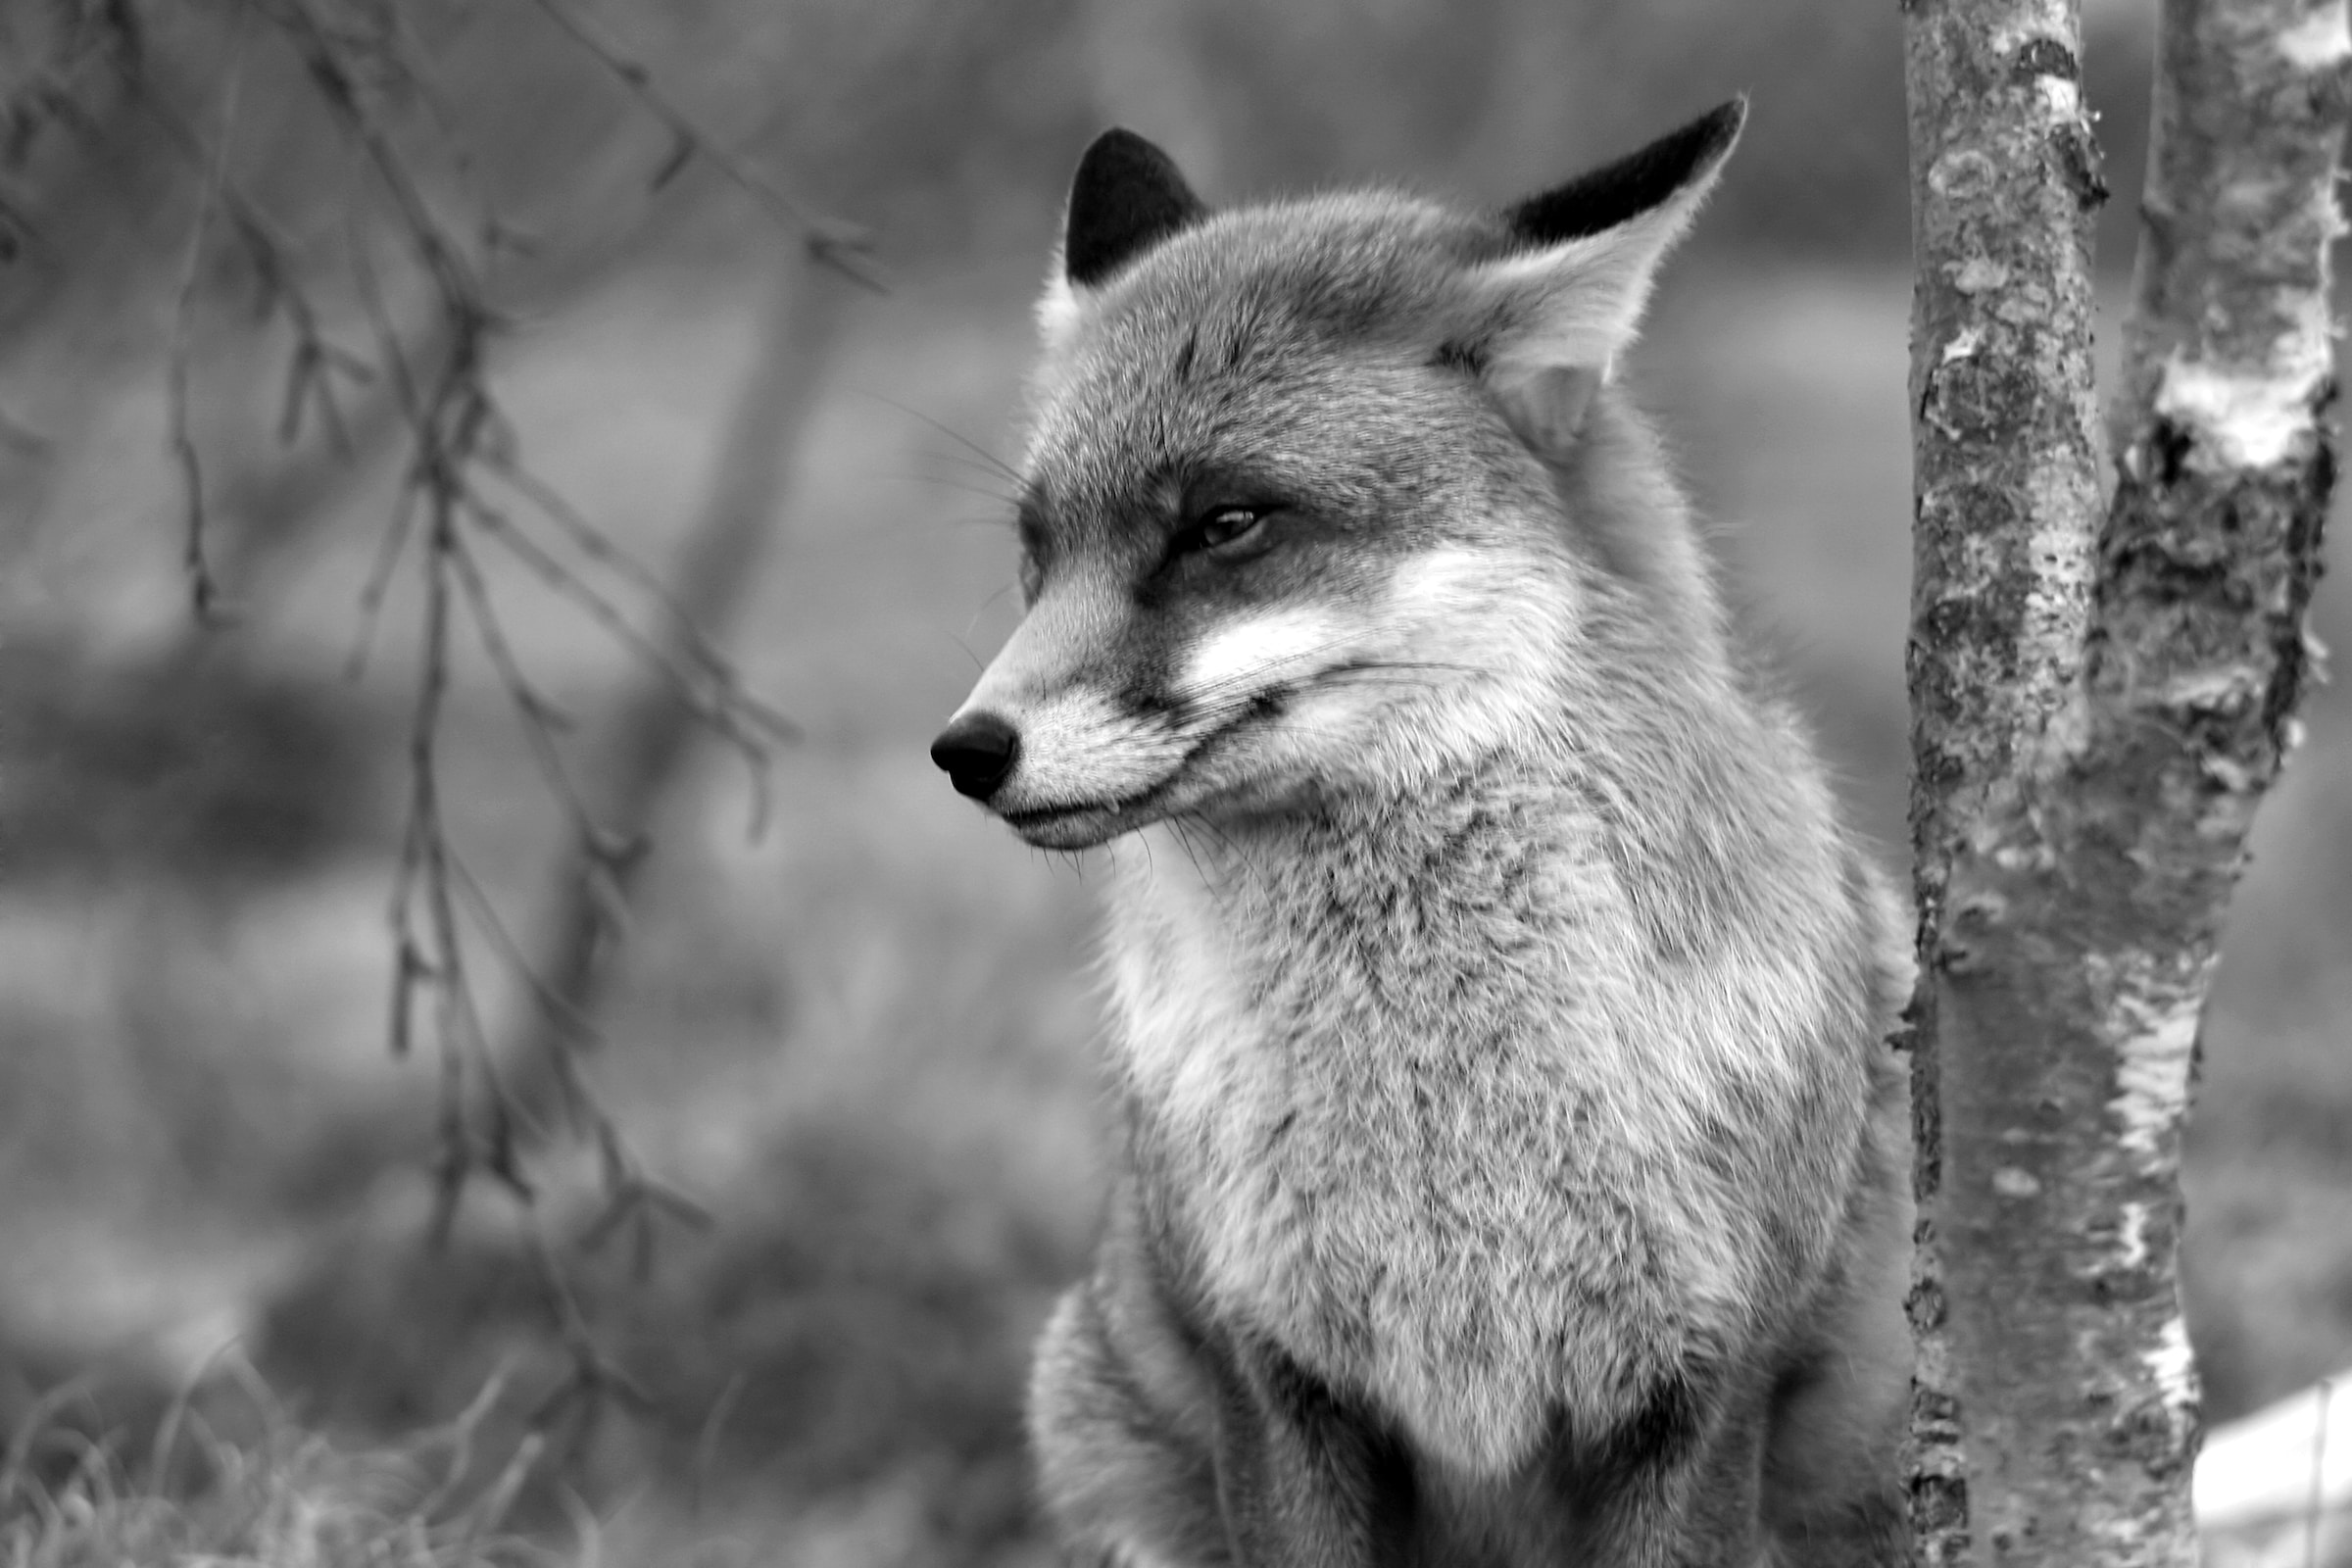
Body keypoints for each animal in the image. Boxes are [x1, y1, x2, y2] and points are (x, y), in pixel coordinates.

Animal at [929, 101, 1915, 1568]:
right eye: (1038, 552)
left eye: (1226, 524)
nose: (967, 752)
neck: (1449, 1122)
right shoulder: (1272, 1381)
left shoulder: (1703, 1386)